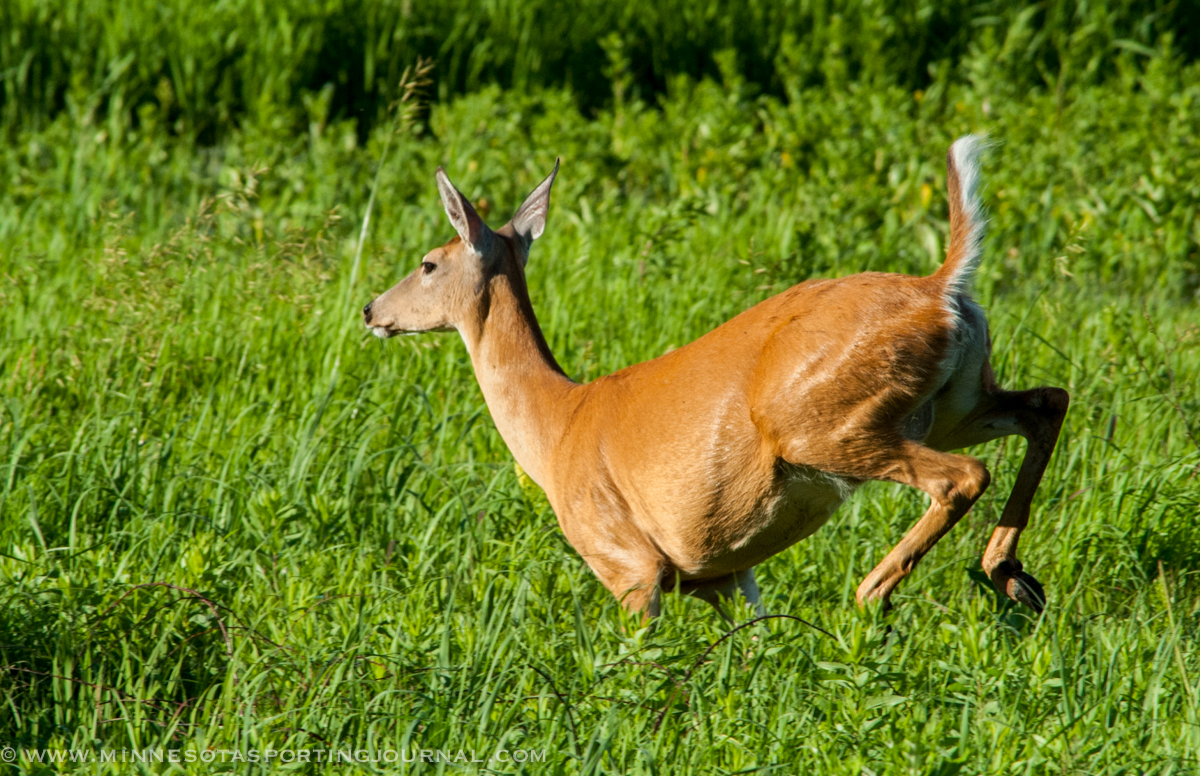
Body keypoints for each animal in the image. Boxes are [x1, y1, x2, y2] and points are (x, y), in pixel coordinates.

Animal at [362, 136, 1069, 621]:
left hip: (821, 423)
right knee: (1046, 402)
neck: (557, 425)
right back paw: (1009, 573)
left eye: (427, 263)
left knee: (963, 475)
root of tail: (941, 288)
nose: (371, 309)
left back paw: (873, 595)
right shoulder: (725, 575)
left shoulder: (628, 562)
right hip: (954, 402)